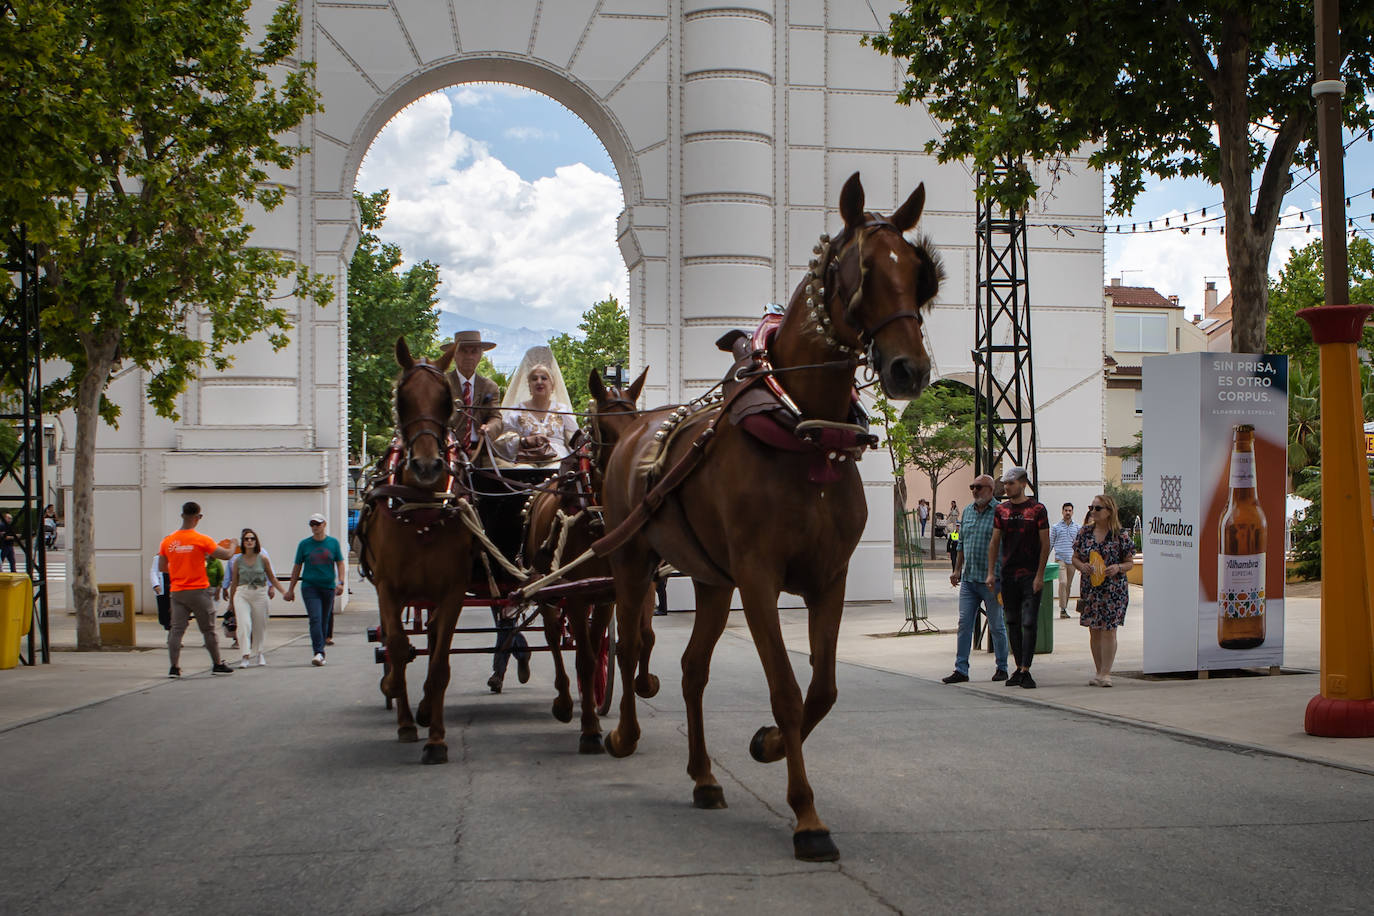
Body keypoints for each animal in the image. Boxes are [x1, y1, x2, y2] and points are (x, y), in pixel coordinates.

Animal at [357, 336, 475, 769]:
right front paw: (404, 715)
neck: (423, 505)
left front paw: (436, 738)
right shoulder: (388, 588)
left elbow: (439, 663)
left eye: (445, 401)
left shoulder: (452, 590)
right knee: (401, 647)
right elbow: (396, 646)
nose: (427, 466)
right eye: (401, 398)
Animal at [524, 368, 654, 758]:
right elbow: (582, 657)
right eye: (604, 430)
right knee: (553, 637)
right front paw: (590, 731)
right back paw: (565, 702)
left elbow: (605, 650)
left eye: (637, 421)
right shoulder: (579, 595)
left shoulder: (608, 593)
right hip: (548, 587)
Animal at [590, 170, 945, 862]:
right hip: (632, 559)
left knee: (692, 670)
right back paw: (622, 734)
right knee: (630, 646)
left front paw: (770, 745)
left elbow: (822, 690)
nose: (908, 368)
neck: (803, 433)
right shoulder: (758, 579)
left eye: (920, 274)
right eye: (863, 270)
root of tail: (633, 429)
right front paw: (807, 815)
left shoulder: (827, 578)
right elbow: (784, 687)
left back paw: (703, 776)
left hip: (708, 579)